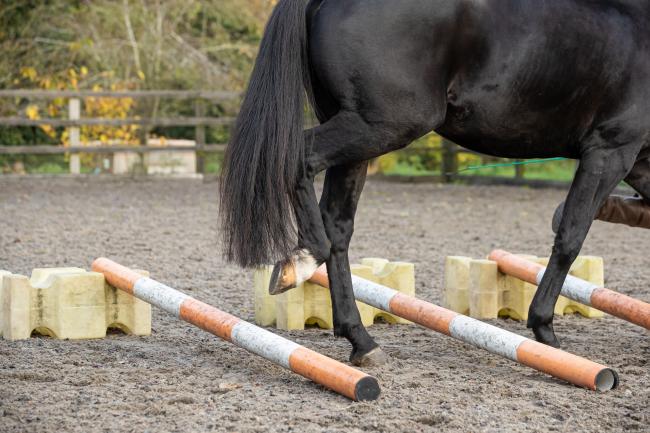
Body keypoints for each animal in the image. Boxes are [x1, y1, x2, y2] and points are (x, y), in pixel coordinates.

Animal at [220, 0, 650, 366]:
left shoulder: (639, 162)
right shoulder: (610, 151)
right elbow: (571, 237)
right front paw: (544, 327)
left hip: (360, 134)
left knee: (338, 227)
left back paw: (360, 338)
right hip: (382, 125)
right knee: (298, 161)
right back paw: (304, 257)